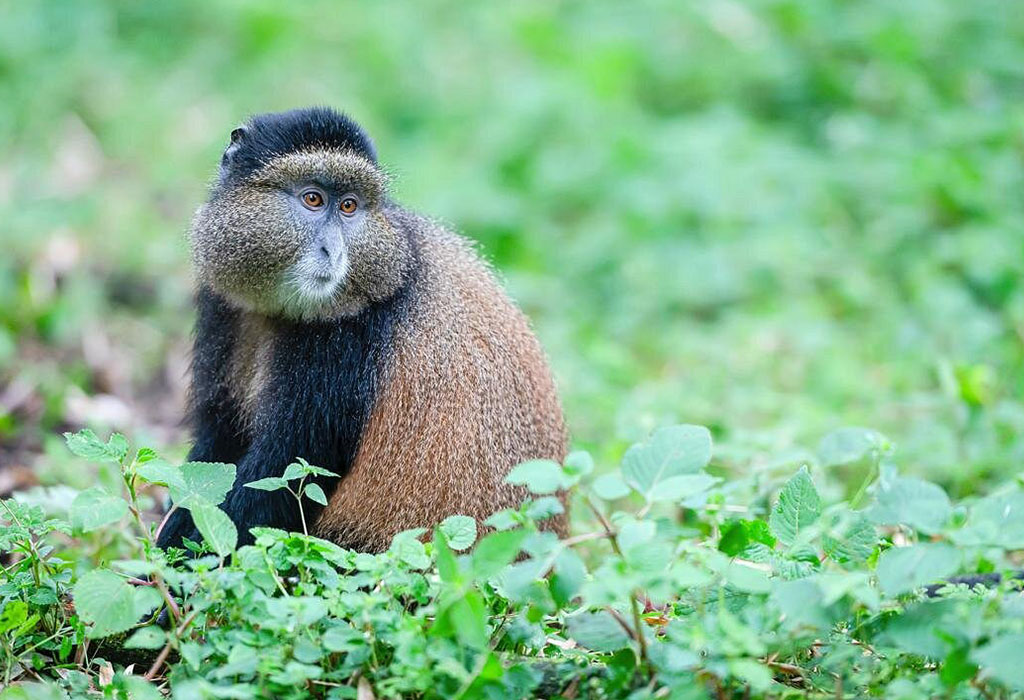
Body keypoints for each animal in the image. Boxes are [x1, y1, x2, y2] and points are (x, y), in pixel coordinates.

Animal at [156, 107, 568, 553]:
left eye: (350, 206)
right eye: (313, 199)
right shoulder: (223, 308)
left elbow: (285, 472)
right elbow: (219, 445)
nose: (332, 251)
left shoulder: (342, 345)